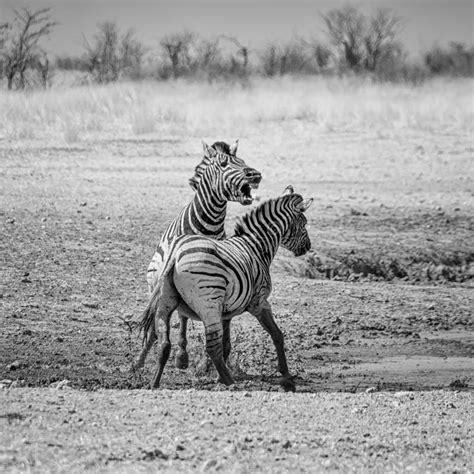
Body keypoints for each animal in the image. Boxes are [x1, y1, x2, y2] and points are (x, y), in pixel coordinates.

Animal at [133, 141, 262, 370]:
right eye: (223, 164)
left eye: (243, 160)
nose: (255, 175)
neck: (208, 226)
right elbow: (173, 319)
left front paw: (209, 361)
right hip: (157, 280)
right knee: (163, 317)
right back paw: (146, 358)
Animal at [139, 187, 312, 390]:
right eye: (304, 224)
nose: (308, 247)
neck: (255, 246)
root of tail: (175, 251)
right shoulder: (259, 302)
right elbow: (277, 335)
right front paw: (286, 377)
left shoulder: (227, 312)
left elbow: (227, 344)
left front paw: (218, 377)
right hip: (208, 304)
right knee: (211, 347)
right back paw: (231, 383)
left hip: (165, 301)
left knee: (164, 343)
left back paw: (154, 383)